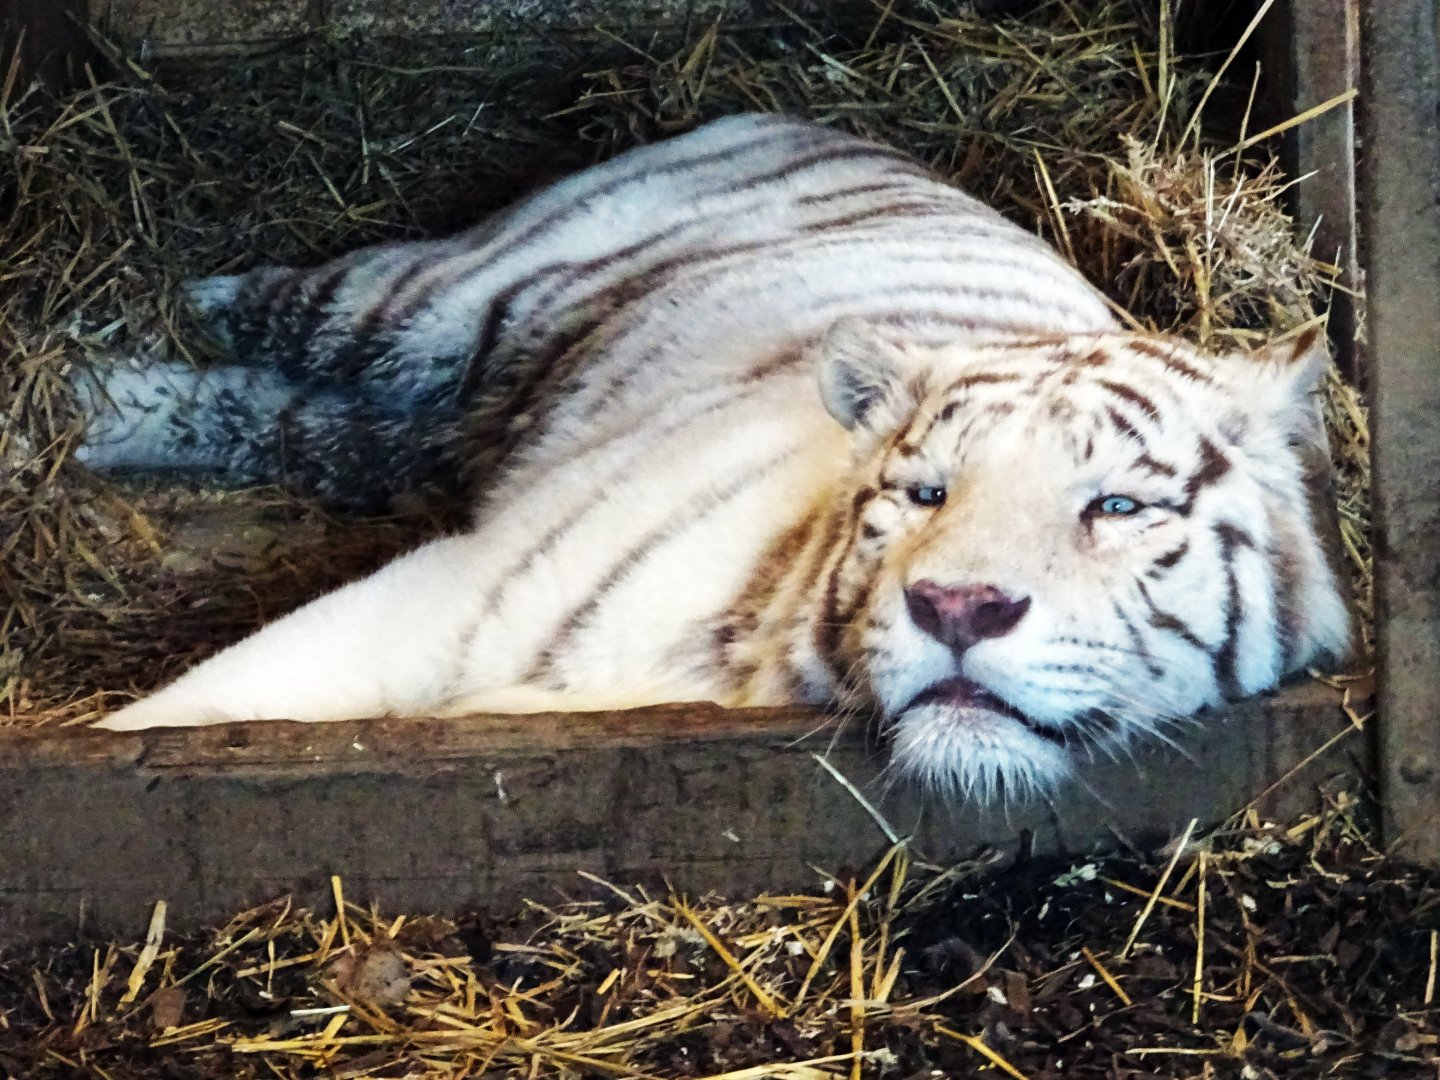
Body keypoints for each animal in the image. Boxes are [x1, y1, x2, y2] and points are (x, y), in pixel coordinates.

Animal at [81, 114, 1351, 799]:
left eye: (1119, 507)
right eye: (925, 491)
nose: (957, 607)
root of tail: (810, 119)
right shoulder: (442, 596)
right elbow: (175, 717)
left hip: (402, 425)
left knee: (278, 416)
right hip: (431, 300)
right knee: (261, 308)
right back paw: (80, 371)